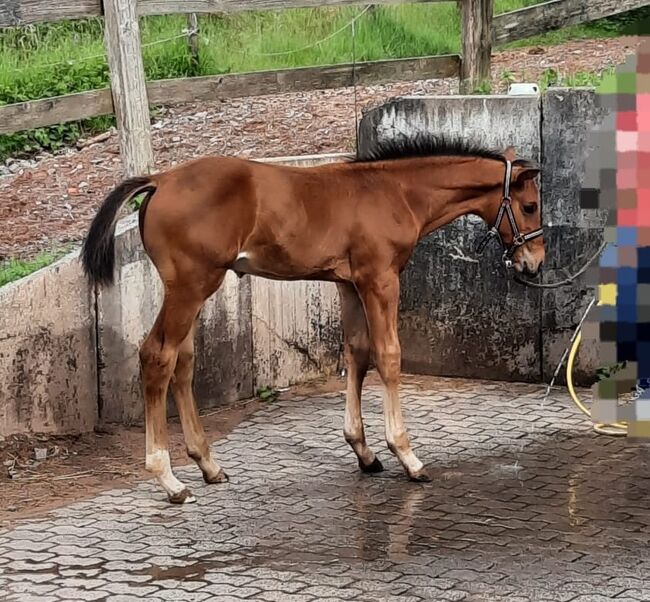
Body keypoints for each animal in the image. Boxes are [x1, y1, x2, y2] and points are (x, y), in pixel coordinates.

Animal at [83, 136, 544, 502]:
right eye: (530, 205)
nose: (534, 263)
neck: (394, 192)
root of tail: (160, 179)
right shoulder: (381, 279)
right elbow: (388, 356)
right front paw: (407, 456)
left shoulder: (349, 283)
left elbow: (357, 353)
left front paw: (364, 452)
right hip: (191, 286)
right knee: (157, 356)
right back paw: (169, 479)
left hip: (192, 292)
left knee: (183, 361)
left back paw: (208, 465)